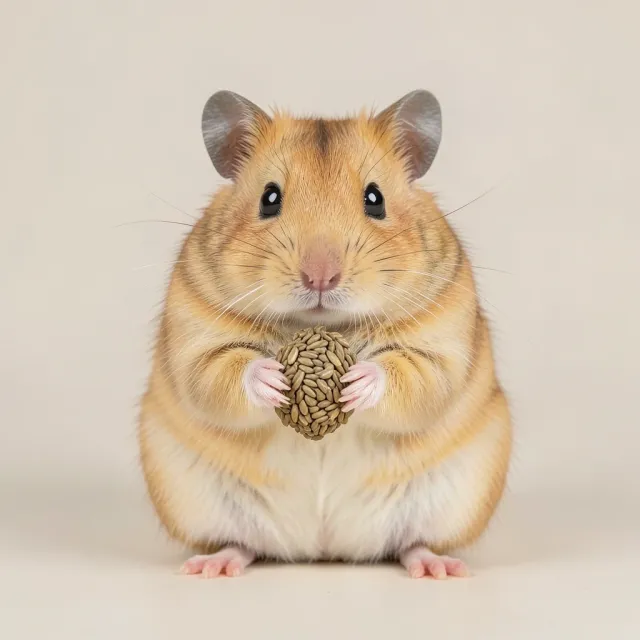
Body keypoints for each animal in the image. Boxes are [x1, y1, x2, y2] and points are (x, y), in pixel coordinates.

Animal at [138, 89, 512, 579]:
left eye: (375, 199)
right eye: (269, 198)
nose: (320, 277)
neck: (322, 325)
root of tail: (324, 549)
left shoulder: (441, 344)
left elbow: (416, 378)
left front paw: (357, 382)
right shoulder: (195, 338)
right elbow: (218, 373)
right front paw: (273, 378)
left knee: (411, 543)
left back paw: (438, 568)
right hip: (192, 499)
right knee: (242, 543)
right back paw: (211, 567)